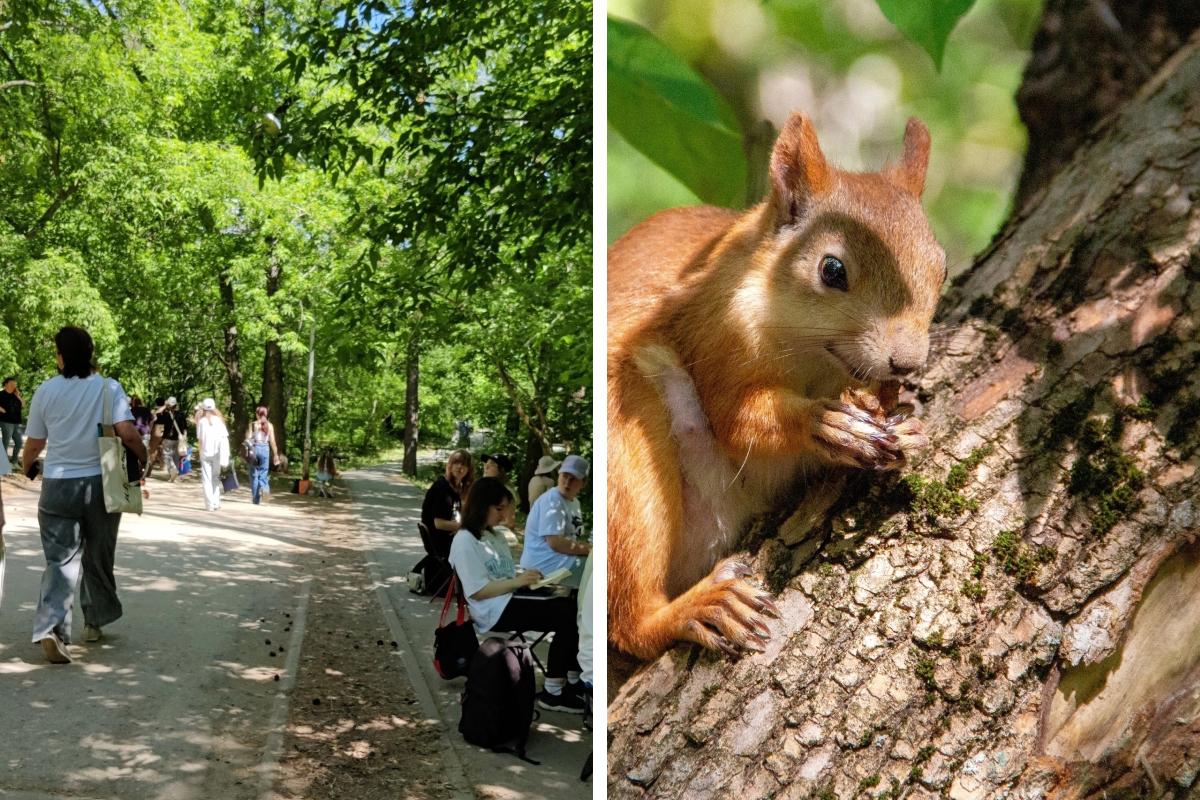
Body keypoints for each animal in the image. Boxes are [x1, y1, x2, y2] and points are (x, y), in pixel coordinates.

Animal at [609, 113, 945, 662]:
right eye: (832, 270)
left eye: (942, 268)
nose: (907, 362)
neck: (811, 355)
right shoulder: (713, 332)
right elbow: (737, 418)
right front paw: (825, 422)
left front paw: (903, 426)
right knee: (630, 624)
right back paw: (688, 610)